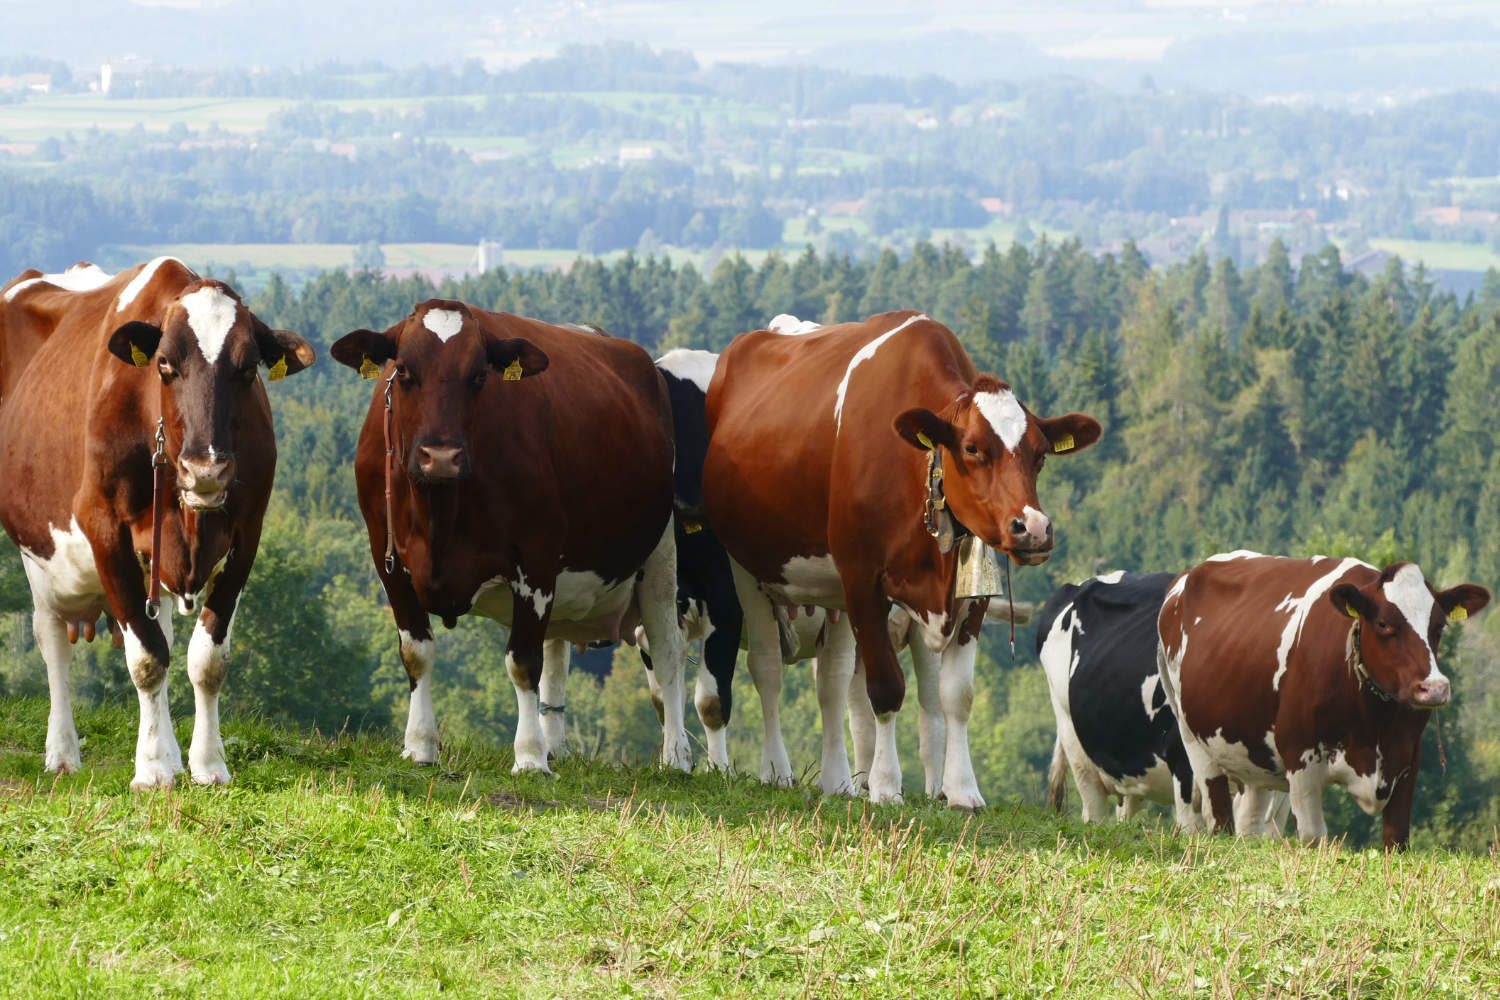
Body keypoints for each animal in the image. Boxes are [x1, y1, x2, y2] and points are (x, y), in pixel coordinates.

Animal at [0, 257, 312, 791]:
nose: (205, 469)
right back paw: (63, 753)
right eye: (164, 365)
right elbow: (147, 658)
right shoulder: (104, 530)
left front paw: (206, 764)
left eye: (248, 367)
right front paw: (150, 770)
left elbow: (206, 660)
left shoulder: (247, 533)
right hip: (38, 554)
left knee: (157, 625)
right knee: (53, 641)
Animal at [328, 301, 690, 773]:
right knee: (558, 656)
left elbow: (522, 661)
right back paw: (557, 743)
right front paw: (420, 745)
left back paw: (676, 756)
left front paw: (530, 757)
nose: (440, 456)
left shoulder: (535, 560)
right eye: (403, 369)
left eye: (479, 375)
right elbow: (417, 652)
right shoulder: (386, 557)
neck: (439, 513)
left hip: (661, 555)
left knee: (666, 650)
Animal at [702, 308, 1104, 809]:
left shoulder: (972, 598)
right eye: (973, 448)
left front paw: (962, 790)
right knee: (768, 670)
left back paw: (836, 781)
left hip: (830, 596)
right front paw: (887, 786)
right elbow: (885, 688)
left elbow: (957, 696)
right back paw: (777, 770)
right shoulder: (861, 580)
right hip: (745, 566)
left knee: (832, 685)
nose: (1033, 528)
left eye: (1041, 455)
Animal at [1158, 551, 1488, 851]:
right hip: (1193, 738)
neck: (1374, 722)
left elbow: (1396, 840)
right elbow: (1314, 838)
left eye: (1440, 626)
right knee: (1219, 817)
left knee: (1249, 821)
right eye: (1383, 623)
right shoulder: (1300, 757)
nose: (1434, 688)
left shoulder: (1407, 759)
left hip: (1253, 754)